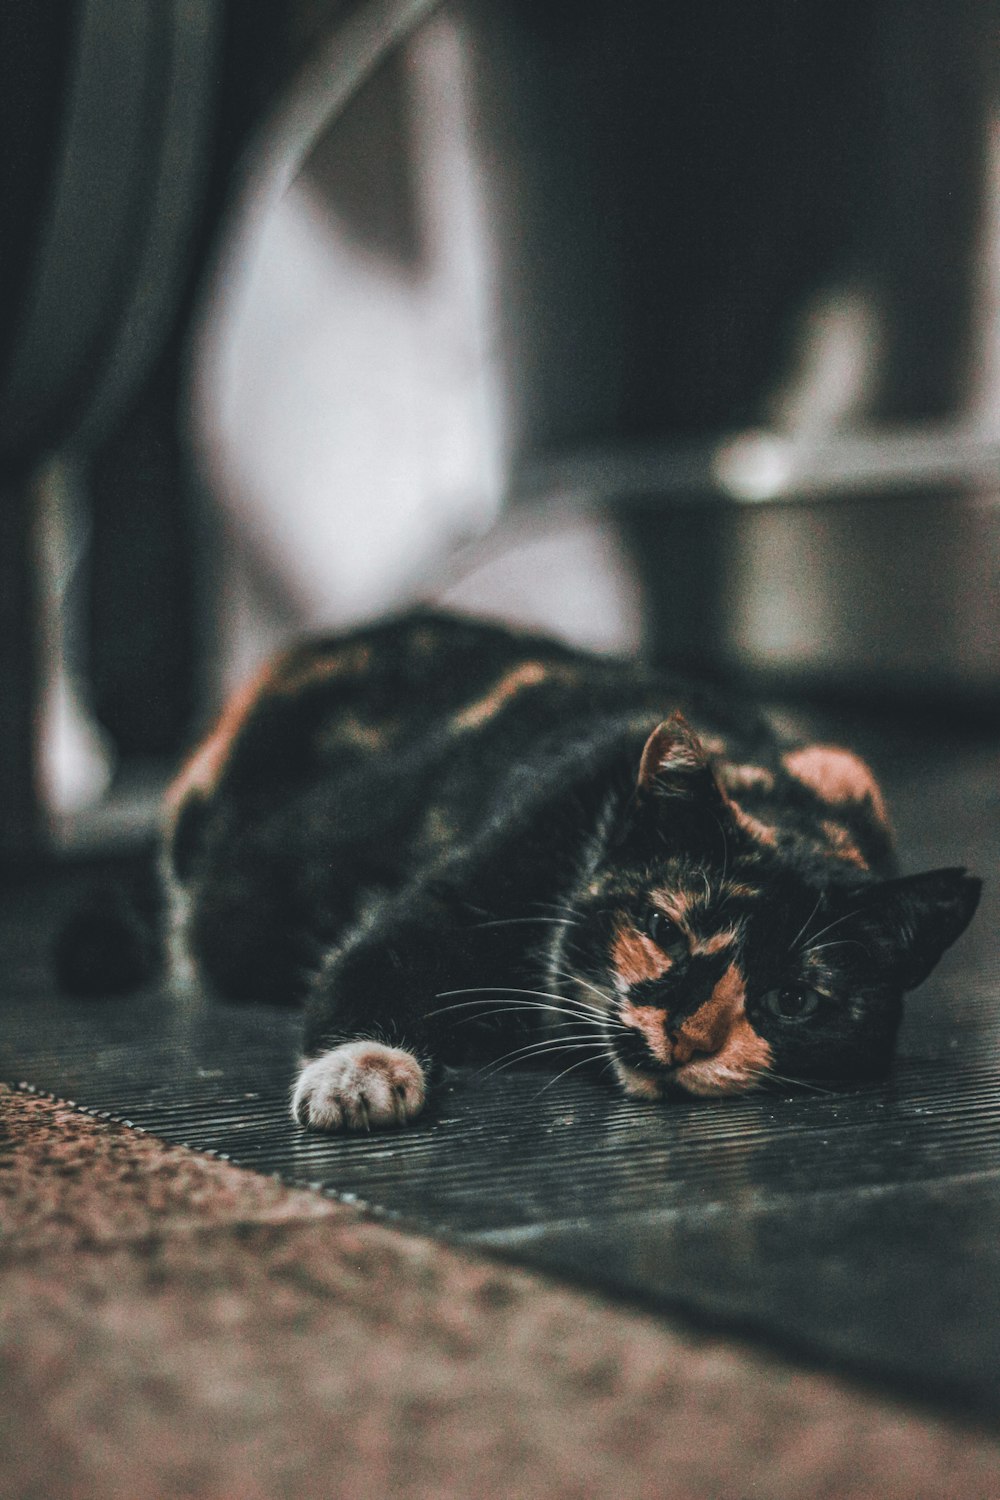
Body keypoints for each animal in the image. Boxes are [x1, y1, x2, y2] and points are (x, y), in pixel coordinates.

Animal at [56, 606, 977, 1128]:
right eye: (661, 926)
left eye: (793, 1000)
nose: (685, 1032)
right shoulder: (458, 891)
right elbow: (369, 962)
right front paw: (361, 1072)